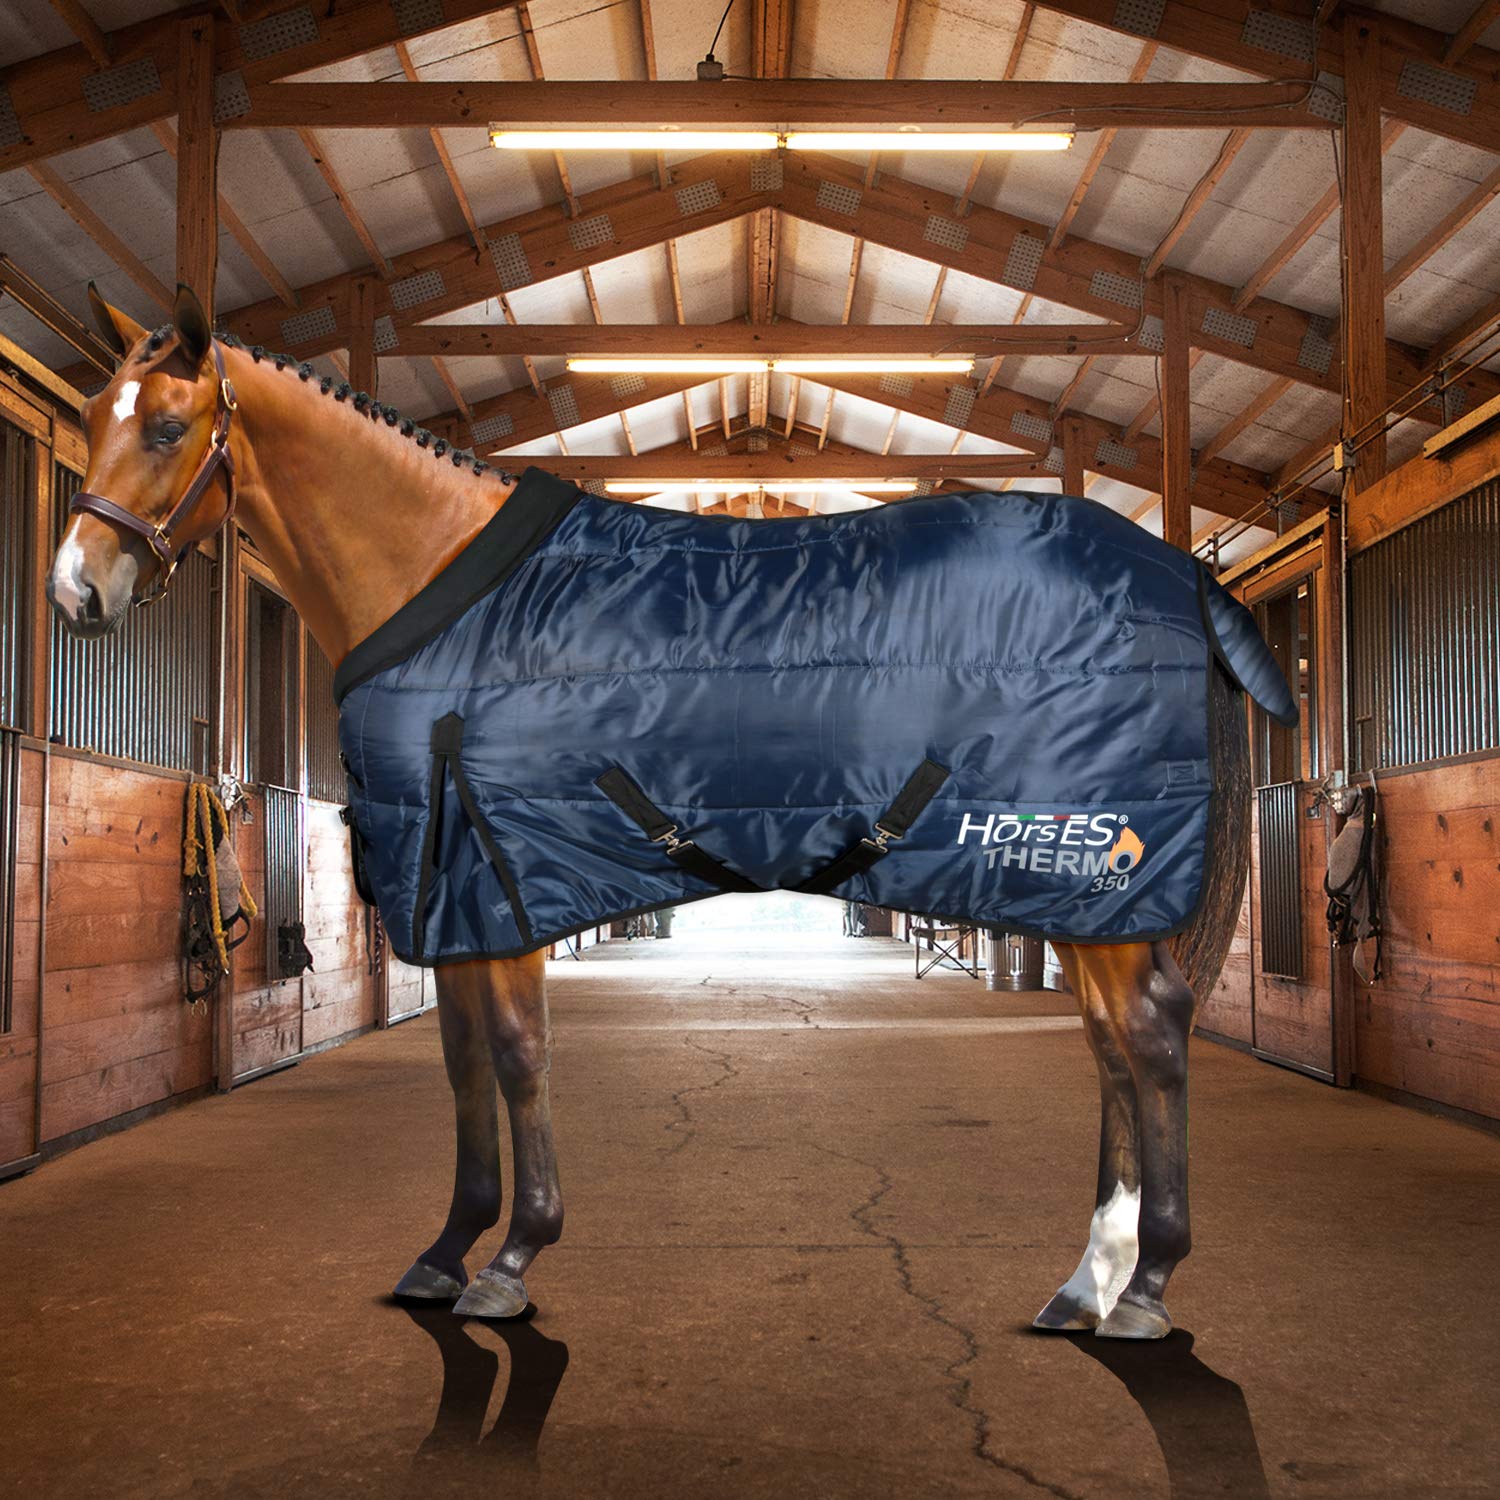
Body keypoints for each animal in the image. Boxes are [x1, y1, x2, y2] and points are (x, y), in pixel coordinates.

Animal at [46, 286, 1254, 1340]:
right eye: (94, 418)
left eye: (166, 427)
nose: (74, 592)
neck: (448, 587)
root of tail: (1182, 576)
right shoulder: (455, 896)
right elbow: (465, 1061)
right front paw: (445, 1252)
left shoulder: (505, 879)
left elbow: (518, 1052)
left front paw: (513, 1259)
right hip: (1077, 893)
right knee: (1111, 1044)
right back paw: (1087, 1283)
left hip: (1087, 875)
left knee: (1148, 1036)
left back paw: (1144, 1288)